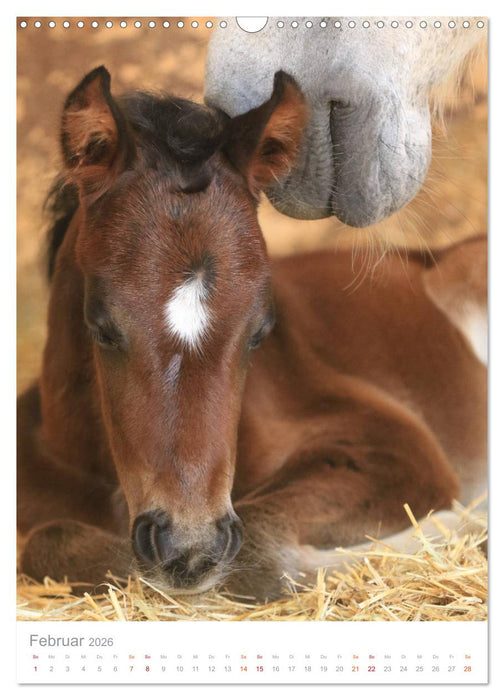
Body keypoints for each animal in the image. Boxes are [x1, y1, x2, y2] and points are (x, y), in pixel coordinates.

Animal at [17, 66, 487, 601]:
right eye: (102, 326)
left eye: (259, 332)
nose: (190, 547)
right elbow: (50, 541)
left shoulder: (397, 446)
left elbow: (259, 549)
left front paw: (468, 525)